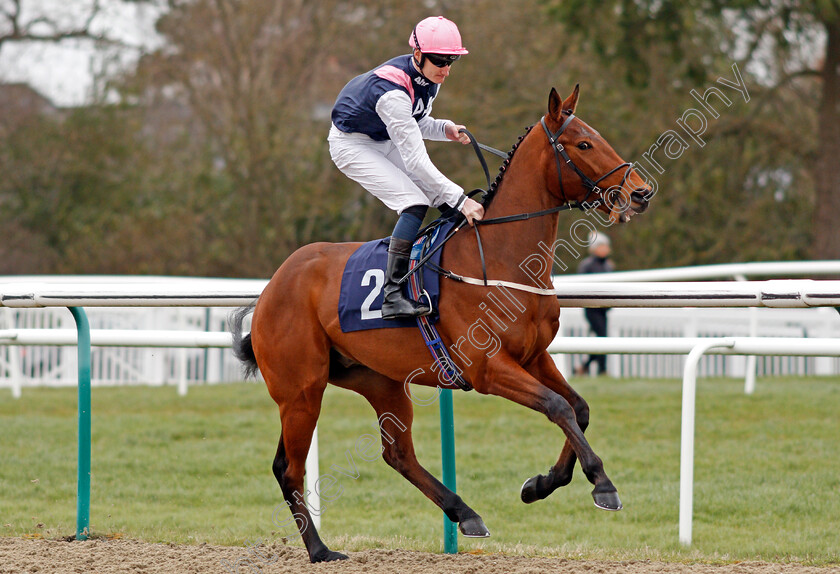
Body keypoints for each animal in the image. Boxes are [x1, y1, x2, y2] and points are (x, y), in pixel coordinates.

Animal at [231, 85, 656, 564]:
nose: (640, 193)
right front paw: (602, 484)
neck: (499, 255)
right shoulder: (487, 368)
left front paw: (540, 484)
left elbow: (578, 408)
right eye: (583, 144)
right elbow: (558, 407)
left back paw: (465, 513)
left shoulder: (533, 356)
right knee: (291, 468)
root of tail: (272, 286)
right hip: (301, 390)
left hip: (379, 381)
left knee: (395, 454)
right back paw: (321, 549)